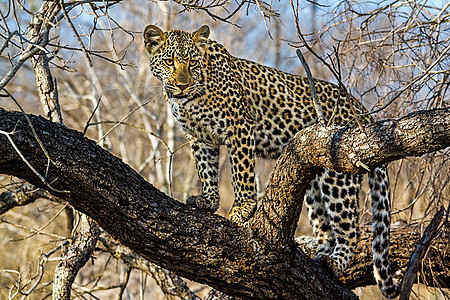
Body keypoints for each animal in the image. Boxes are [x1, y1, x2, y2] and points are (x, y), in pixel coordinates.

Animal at [142, 24, 400, 298]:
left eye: (192, 63)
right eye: (169, 62)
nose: (182, 86)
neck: (191, 99)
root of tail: (361, 109)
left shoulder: (240, 127)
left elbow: (241, 173)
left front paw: (242, 210)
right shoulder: (200, 138)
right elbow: (206, 170)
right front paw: (208, 200)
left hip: (338, 173)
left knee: (349, 228)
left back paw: (336, 261)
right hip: (314, 183)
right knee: (324, 228)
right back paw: (318, 259)